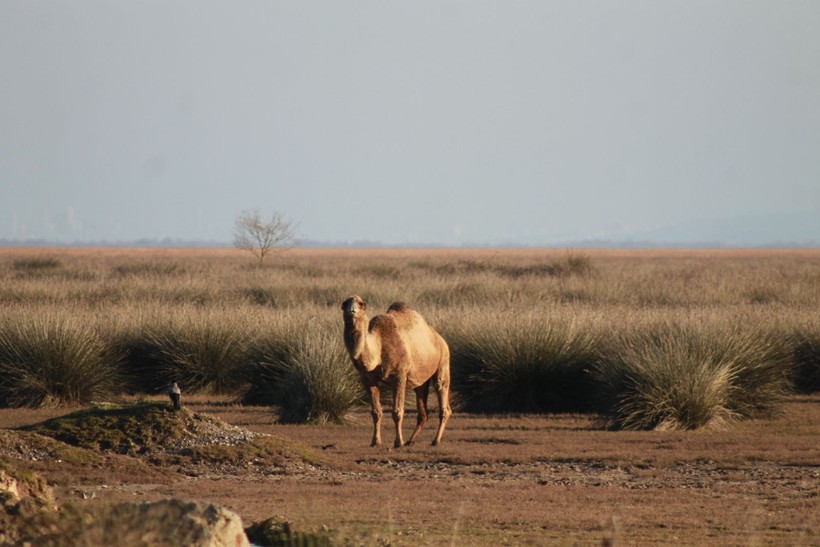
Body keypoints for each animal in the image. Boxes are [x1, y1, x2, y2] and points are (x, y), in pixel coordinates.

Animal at [342, 296, 452, 450]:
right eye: (344, 305)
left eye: (361, 304)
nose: (352, 311)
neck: (378, 348)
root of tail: (439, 338)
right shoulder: (367, 379)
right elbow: (376, 412)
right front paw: (375, 442)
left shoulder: (399, 375)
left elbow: (397, 411)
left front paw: (398, 442)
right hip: (421, 379)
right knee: (423, 411)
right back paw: (410, 441)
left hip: (443, 361)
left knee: (442, 394)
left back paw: (435, 440)